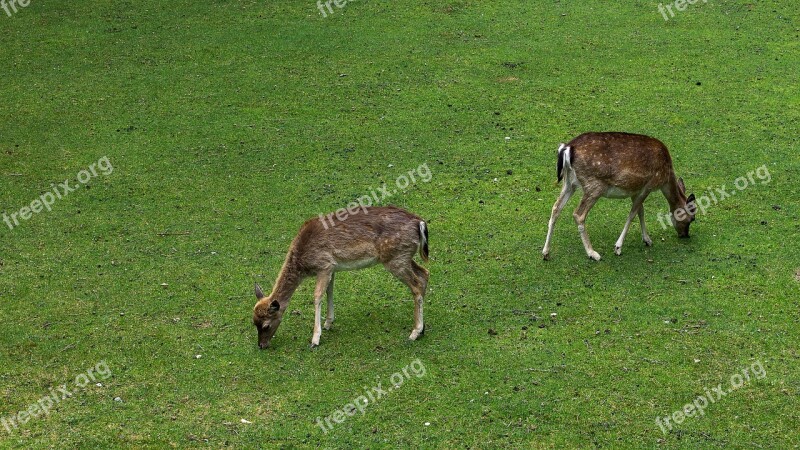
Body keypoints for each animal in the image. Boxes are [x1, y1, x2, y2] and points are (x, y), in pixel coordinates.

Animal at [252, 206, 428, 350]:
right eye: (254, 322)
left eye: (266, 325)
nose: (261, 345)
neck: (303, 264)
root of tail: (420, 223)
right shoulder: (332, 268)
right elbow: (329, 291)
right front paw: (328, 323)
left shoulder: (324, 265)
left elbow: (317, 296)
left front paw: (315, 339)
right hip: (403, 256)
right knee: (424, 273)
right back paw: (423, 329)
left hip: (396, 258)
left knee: (417, 285)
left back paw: (414, 332)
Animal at [540, 131, 696, 260]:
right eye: (692, 218)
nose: (685, 235)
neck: (665, 177)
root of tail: (567, 148)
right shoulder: (648, 186)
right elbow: (633, 214)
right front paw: (618, 247)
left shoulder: (636, 190)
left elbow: (640, 211)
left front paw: (647, 240)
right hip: (594, 185)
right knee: (578, 214)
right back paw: (592, 253)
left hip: (569, 182)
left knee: (556, 207)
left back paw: (546, 252)